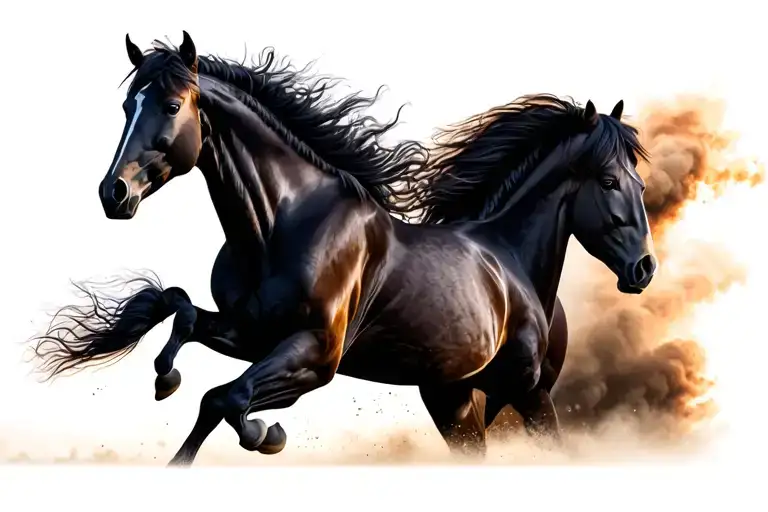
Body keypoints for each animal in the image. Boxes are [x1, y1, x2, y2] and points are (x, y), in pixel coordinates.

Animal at [30, 32, 656, 466]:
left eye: (172, 105)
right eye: (127, 106)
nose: (115, 193)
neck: (279, 226)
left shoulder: (316, 354)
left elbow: (226, 399)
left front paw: (267, 434)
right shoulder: (250, 333)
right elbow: (180, 311)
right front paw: (166, 376)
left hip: (528, 394)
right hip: (452, 400)